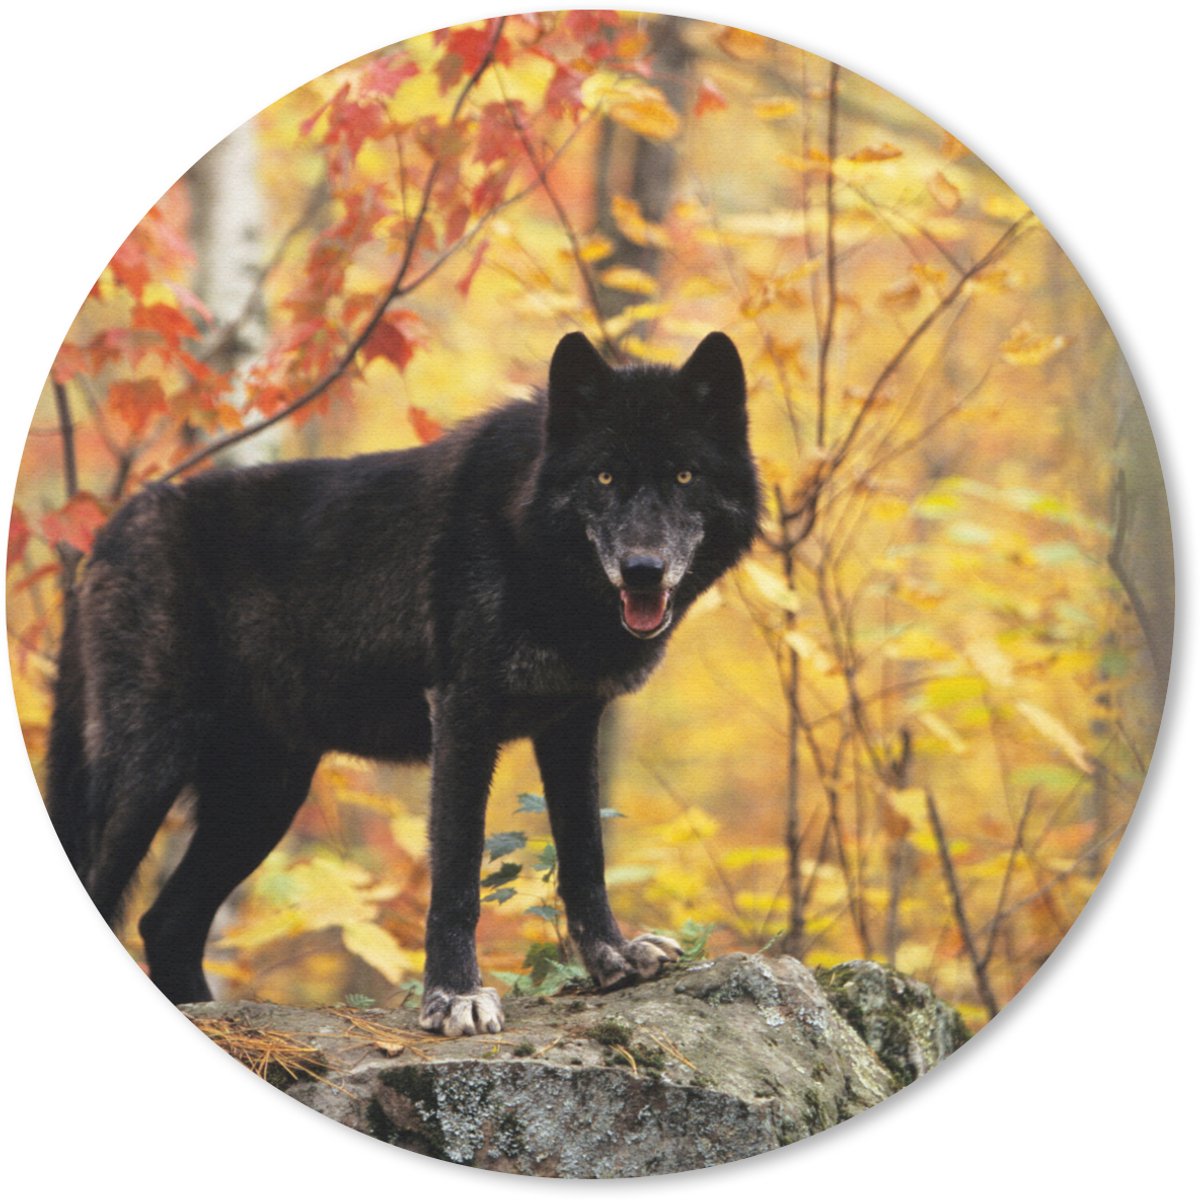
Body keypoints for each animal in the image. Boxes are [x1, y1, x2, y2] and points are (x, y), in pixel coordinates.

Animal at [46, 330, 759, 1036]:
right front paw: (455, 996)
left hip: (263, 797)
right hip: (149, 773)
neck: (535, 554)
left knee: (164, 923)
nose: (643, 570)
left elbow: (585, 854)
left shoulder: (573, 725)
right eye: (605, 475)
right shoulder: (463, 712)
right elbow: (458, 874)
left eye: (684, 475)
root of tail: (108, 531)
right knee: (107, 891)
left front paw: (613, 957)